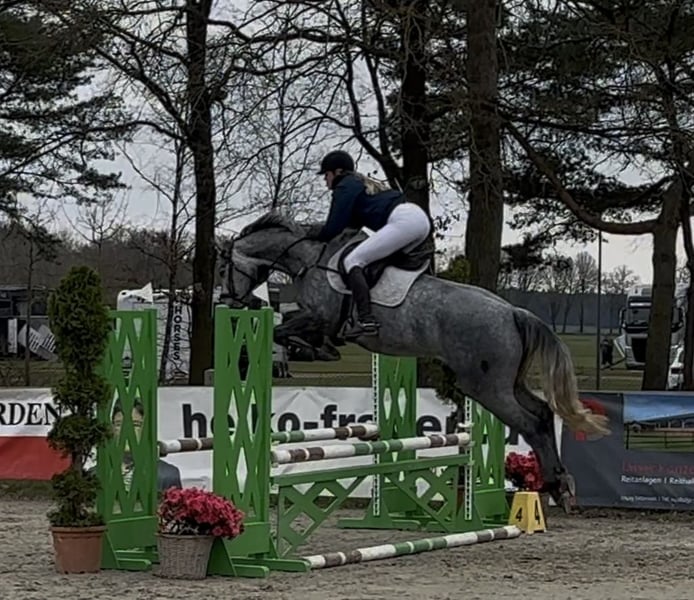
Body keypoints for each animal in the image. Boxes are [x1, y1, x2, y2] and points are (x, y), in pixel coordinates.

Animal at [218, 211, 611, 512]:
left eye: (224, 270)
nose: (228, 300)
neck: (309, 259)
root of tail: (513, 312)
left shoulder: (318, 318)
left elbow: (284, 330)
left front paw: (288, 349)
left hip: (485, 387)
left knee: (529, 422)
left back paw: (555, 485)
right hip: (507, 383)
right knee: (542, 413)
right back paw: (559, 485)